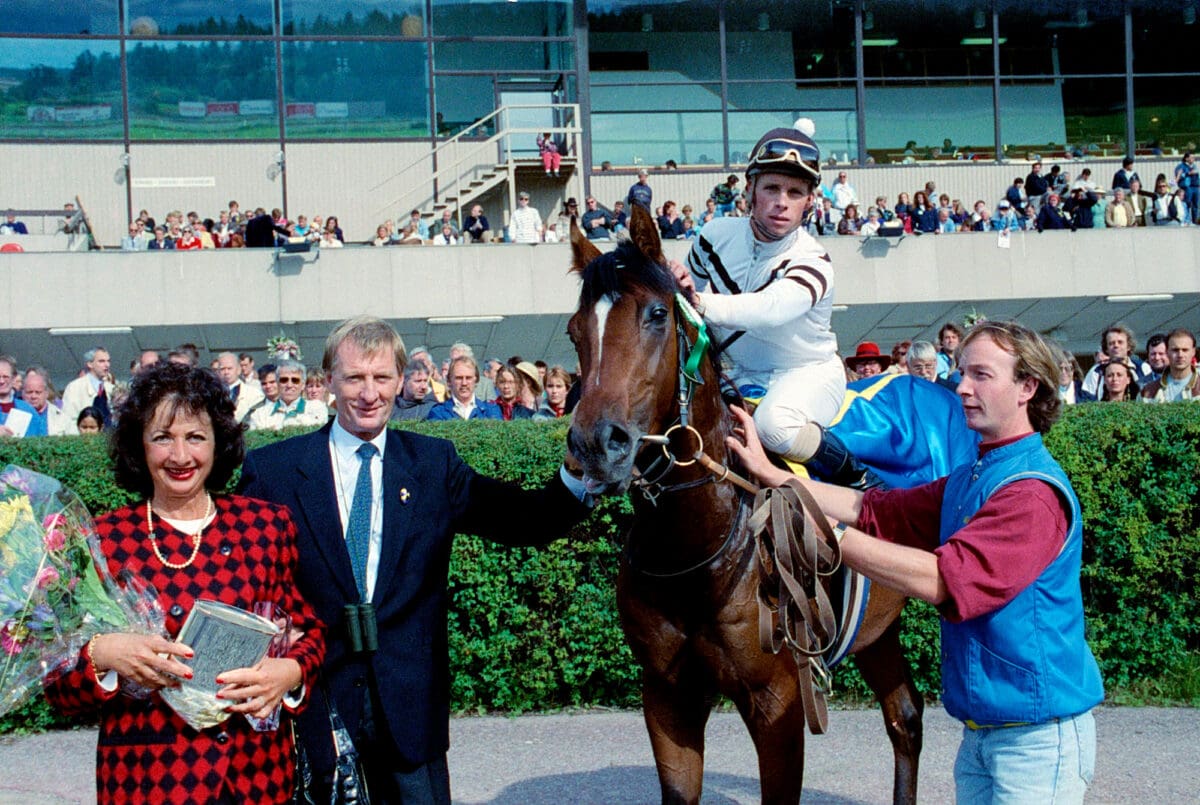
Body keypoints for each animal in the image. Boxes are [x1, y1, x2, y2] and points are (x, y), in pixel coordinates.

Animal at [566, 205, 921, 801]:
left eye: (656, 314)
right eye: (574, 332)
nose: (595, 444)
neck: (695, 549)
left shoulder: (777, 700)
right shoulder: (668, 696)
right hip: (878, 629)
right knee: (905, 717)